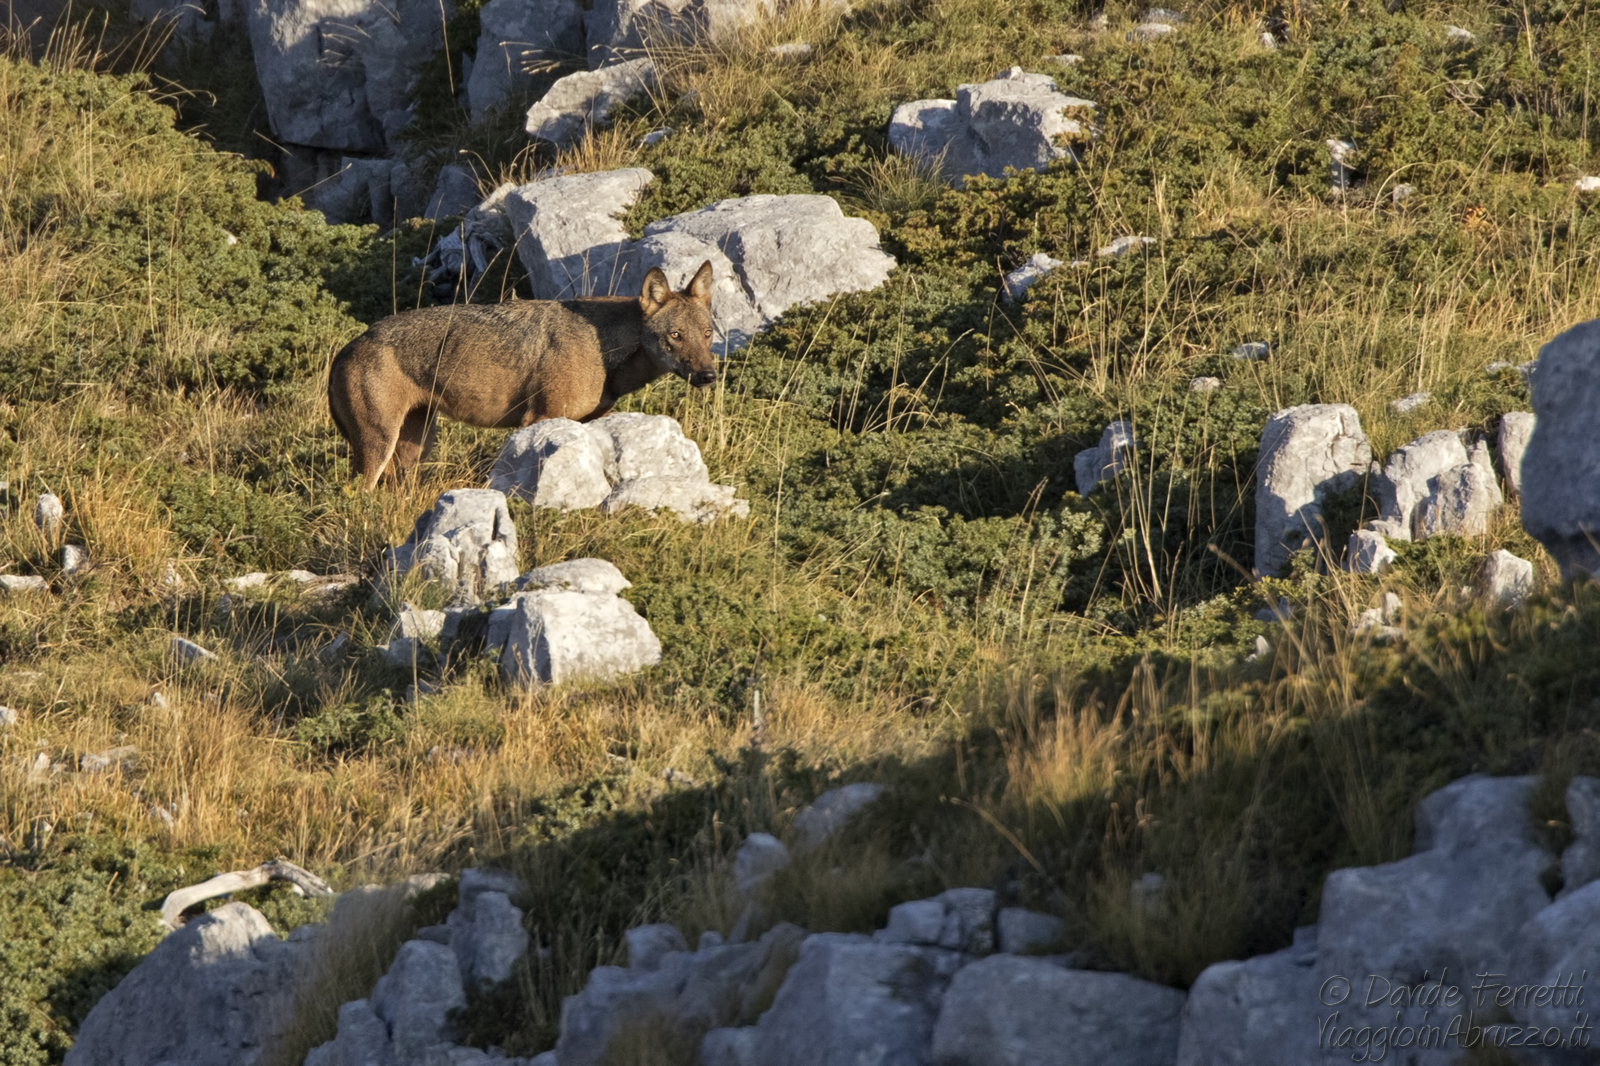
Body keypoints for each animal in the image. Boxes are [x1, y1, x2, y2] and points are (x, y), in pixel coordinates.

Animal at [328, 261, 716, 490]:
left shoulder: (584, 424)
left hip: (414, 449)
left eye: (707, 334)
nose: (708, 375)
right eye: (675, 335)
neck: (603, 349)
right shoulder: (539, 417)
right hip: (380, 448)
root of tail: (346, 348)